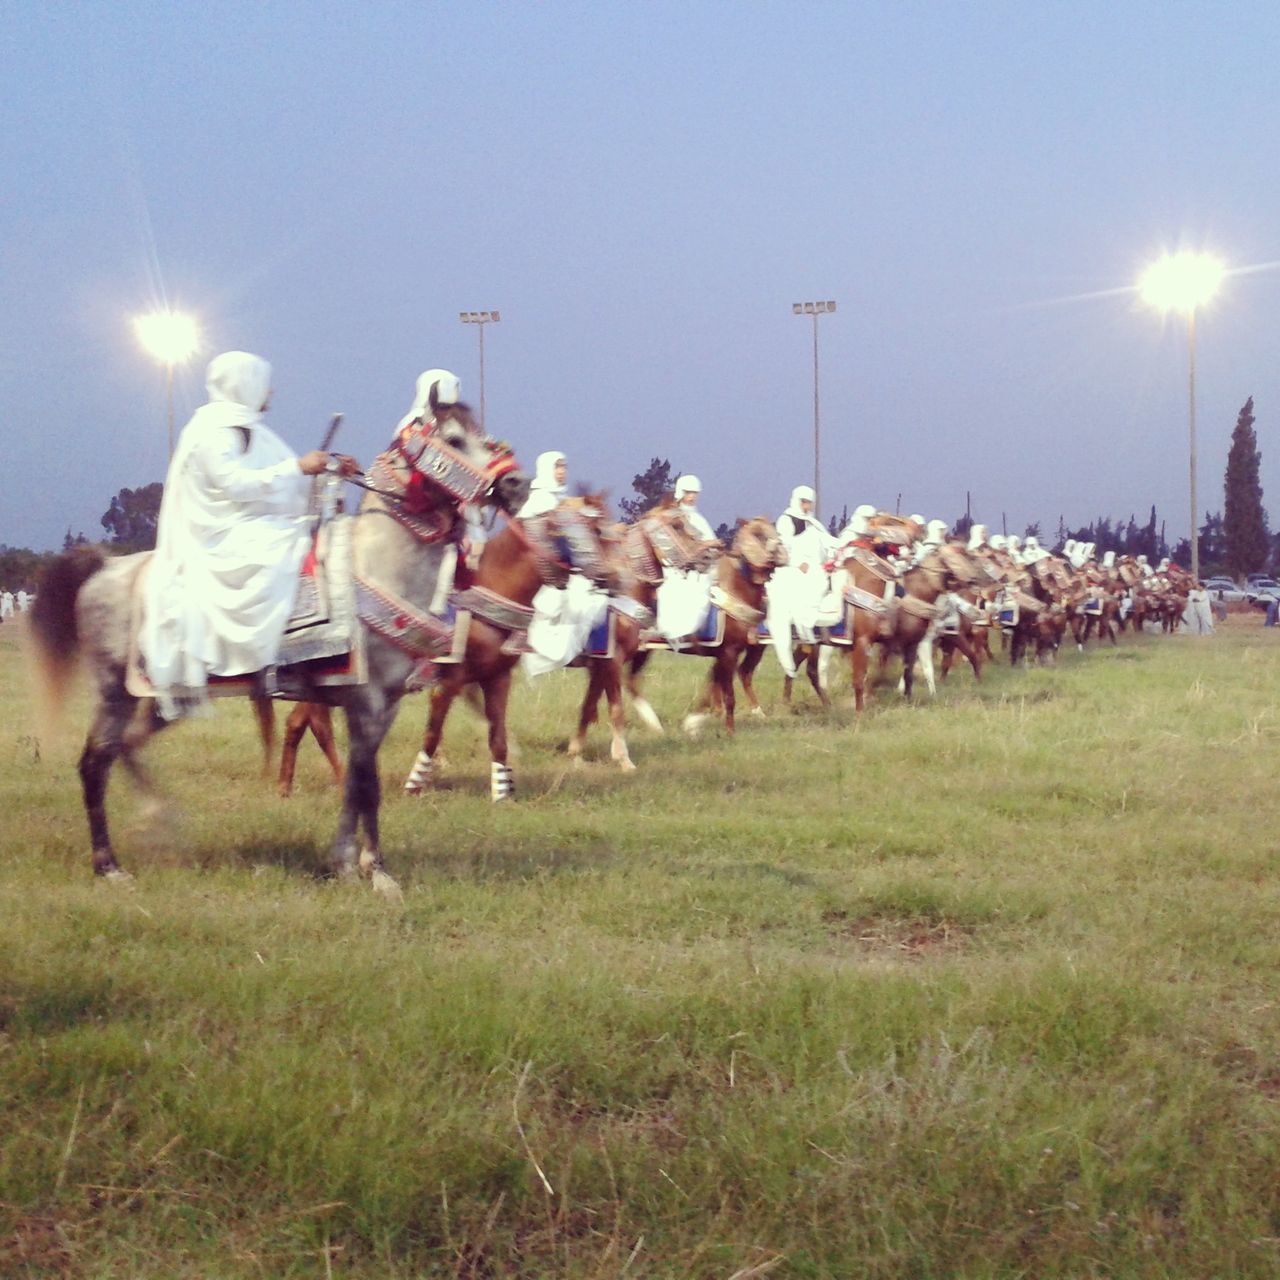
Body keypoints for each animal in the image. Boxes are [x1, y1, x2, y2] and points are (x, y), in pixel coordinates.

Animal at [30, 401, 529, 890]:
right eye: (454, 440)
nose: (516, 484)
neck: (376, 567)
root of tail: (106, 568)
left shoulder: (384, 705)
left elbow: (357, 783)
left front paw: (348, 862)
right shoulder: (365, 700)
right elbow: (366, 784)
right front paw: (375, 870)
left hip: (163, 699)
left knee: (125, 749)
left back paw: (160, 820)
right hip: (115, 691)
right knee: (95, 761)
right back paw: (110, 866)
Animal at [399, 494, 619, 793]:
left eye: (597, 530)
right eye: (563, 534)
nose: (610, 576)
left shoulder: (498, 678)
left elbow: (497, 737)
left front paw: (503, 790)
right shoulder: (447, 682)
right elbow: (432, 734)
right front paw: (415, 784)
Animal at [568, 499, 727, 762]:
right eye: (677, 524)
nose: (713, 552)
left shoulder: (601, 664)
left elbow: (588, 704)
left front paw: (576, 750)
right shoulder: (612, 661)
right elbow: (616, 709)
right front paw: (623, 758)